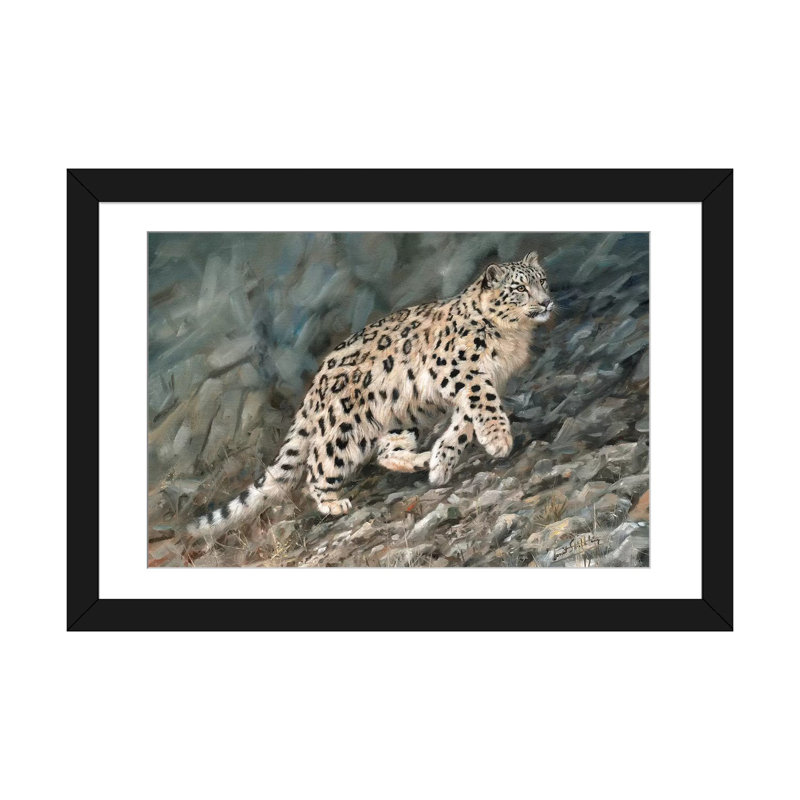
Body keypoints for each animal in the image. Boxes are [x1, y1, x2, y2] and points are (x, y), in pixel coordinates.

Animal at [190, 251, 553, 534]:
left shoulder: (478, 383)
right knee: (318, 467)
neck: (512, 336)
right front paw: (498, 440)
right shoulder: (460, 372)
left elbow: (463, 425)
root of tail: (316, 384)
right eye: (520, 288)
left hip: (402, 417)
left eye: (543, 281)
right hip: (343, 433)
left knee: (385, 452)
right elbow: (484, 404)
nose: (547, 301)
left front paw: (442, 462)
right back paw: (334, 503)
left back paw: (422, 460)